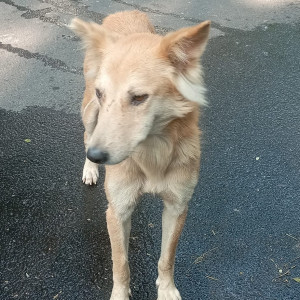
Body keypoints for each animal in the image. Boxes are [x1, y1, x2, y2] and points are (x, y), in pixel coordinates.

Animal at [70, 10, 211, 298]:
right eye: (102, 93)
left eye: (138, 98)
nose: (97, 155)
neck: (152, 154)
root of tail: (124, 12)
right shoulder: (117, 211)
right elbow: (120, 263)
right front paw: (120, 294)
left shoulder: (177, 207)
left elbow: (167, 257)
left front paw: (166, 289)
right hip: (89, 114)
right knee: (86, 135)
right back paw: (89, 169)